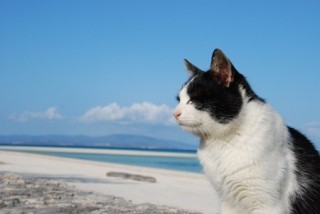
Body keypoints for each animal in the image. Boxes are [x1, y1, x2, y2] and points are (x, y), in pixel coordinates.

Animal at [175, 49, 320, 214]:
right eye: (178, 100)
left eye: (194, 100)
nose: (175, 113)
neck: (221, 142)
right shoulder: (228, 202)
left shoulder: (266, 205)